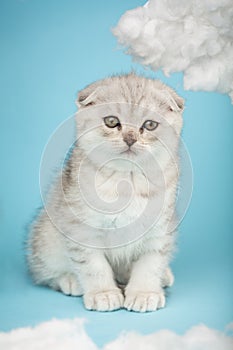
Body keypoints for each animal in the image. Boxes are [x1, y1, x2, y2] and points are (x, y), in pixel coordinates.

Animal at [26, 73, 184, 312]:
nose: (130, 138)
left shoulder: (159, 228)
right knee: (45, 271)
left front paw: (144, 292)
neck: (126, 181)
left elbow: (151, 262)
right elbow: (92, 265)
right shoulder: (80, 228)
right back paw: (70, 280)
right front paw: (104, 293)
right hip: (45, 236)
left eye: (150, 125)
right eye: (111, 121)